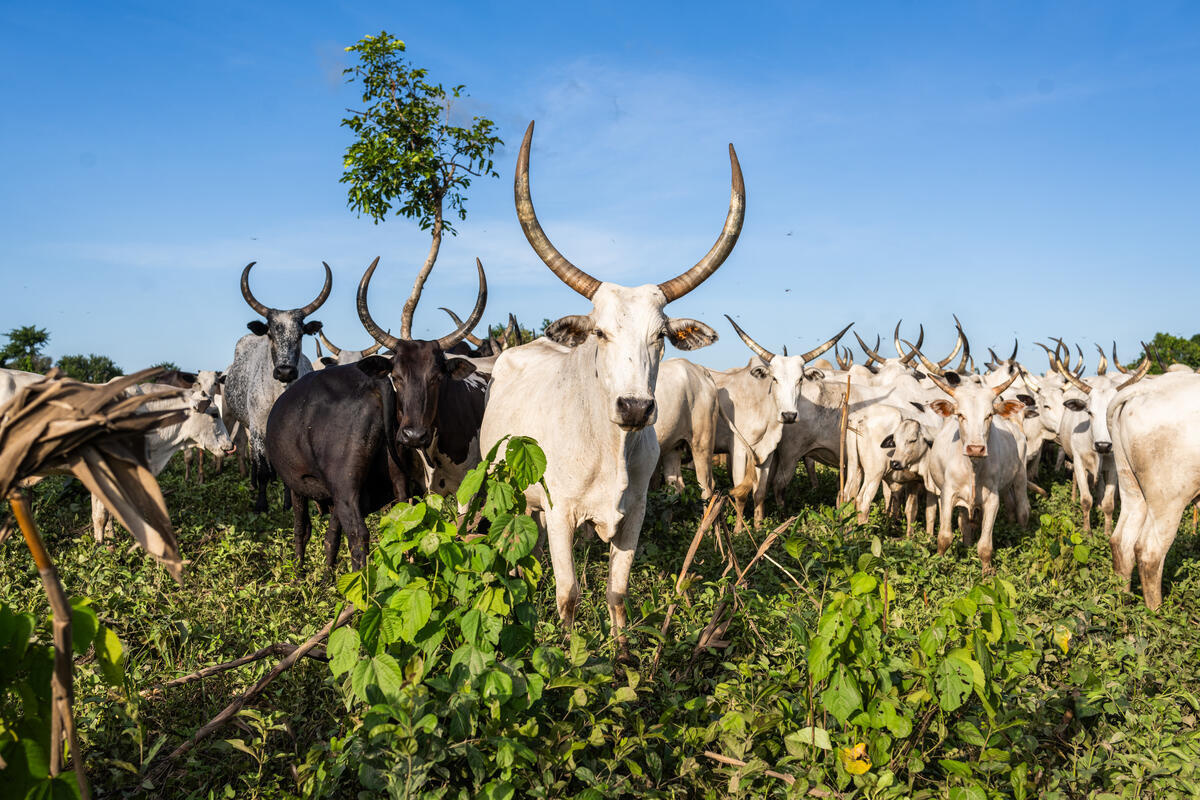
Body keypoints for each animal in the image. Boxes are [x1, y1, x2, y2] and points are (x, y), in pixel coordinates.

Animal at [223, 261, 330, 512]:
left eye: (300, 334)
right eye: (271, 334)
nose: (285, 371)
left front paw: (288, 503)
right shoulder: (258, 426)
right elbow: (262, 467)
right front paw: (261, 505)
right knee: (255, 457)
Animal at [266, 257, 487, 570]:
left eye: (437, 377)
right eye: (397, 376)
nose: (413, 435)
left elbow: (304, 530)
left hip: (346, 485)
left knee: (357, 534)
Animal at [479, 121, 741, 657]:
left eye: (660, 335)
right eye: (599, 332)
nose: (636, 407)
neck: (609, 445)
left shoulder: (634, 511)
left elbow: (617, 592)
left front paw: (621, 656)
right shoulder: (559, 512)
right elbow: (569, 594)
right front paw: (568, 657)